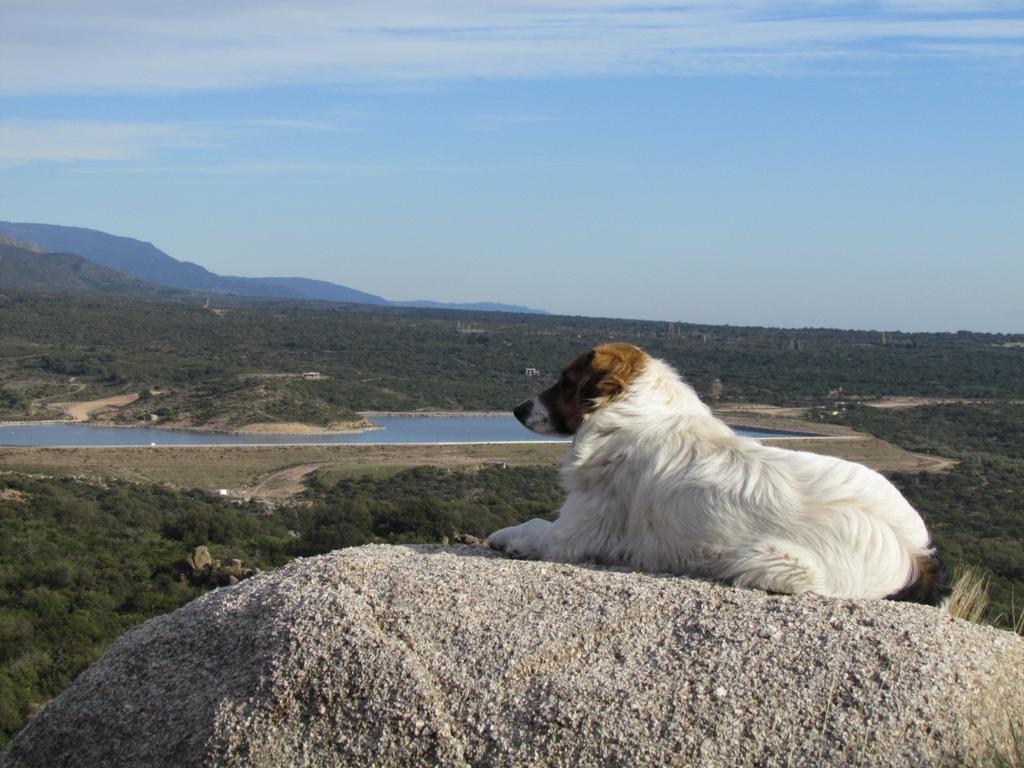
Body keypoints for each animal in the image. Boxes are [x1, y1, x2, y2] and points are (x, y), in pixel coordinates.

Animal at [487, 346, 942, 606]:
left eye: (566, 381)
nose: (517, 410)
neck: (633, 412)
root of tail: (913, 552)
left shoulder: (575, 534)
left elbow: (533, 525)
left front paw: (504, 536)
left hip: (768, 561)